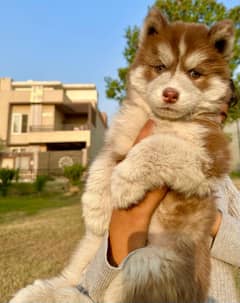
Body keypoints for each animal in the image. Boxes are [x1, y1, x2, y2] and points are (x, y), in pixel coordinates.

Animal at [10, 6, 234, 303]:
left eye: (195, 73)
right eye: (160, 67)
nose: (170, 93)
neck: (161, 119)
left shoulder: (210, 153)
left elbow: (159, 145)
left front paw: (125, 181)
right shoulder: (119, 139)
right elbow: (102, 162)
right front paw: (94, 206)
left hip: (152, 262)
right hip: (88, 250)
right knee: (71, 279)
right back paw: (36, 292)